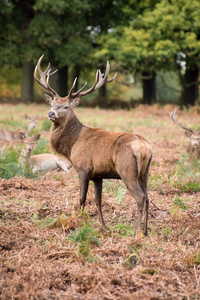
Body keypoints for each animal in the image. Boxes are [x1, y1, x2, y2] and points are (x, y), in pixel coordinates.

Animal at [34, 55, 153, 236]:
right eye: (52, 104)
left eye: (66, 106)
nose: (51, 113)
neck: (73, 145)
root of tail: (144, 148)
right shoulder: (98, 175)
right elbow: (98, 200)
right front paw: (103, 225)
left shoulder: (83, 168)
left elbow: (82, 198)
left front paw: (78, 222)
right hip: (145, 172)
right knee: (147, 197)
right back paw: (145, 232)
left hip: (127, 170)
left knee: (140, 198)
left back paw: (136, 232)